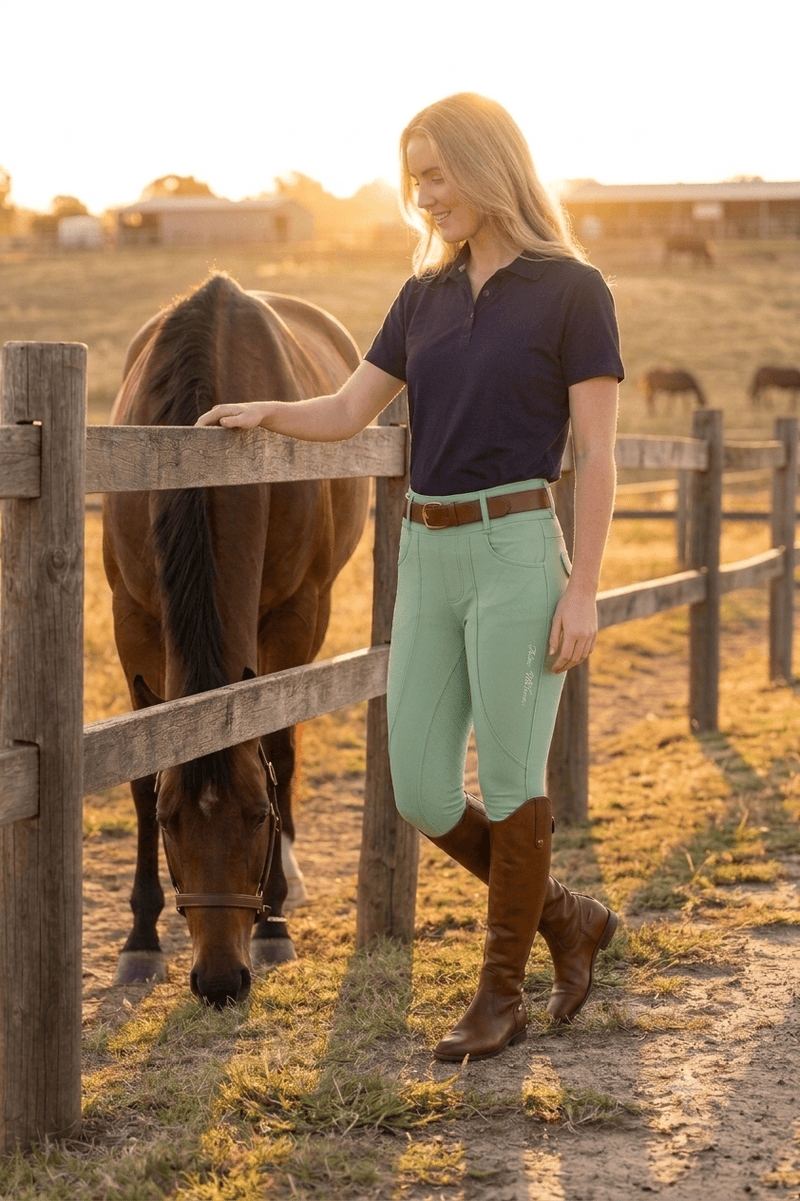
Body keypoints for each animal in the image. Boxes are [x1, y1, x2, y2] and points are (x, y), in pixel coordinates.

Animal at [102, 273, 370, 1006]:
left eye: (256, 816)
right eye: (169, 820)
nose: (221, 980)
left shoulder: (293, 615)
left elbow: (275, 745)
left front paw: (274, 921)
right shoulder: (132, 619)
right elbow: (140, 767)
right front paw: (141, 940)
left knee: (291, 739)